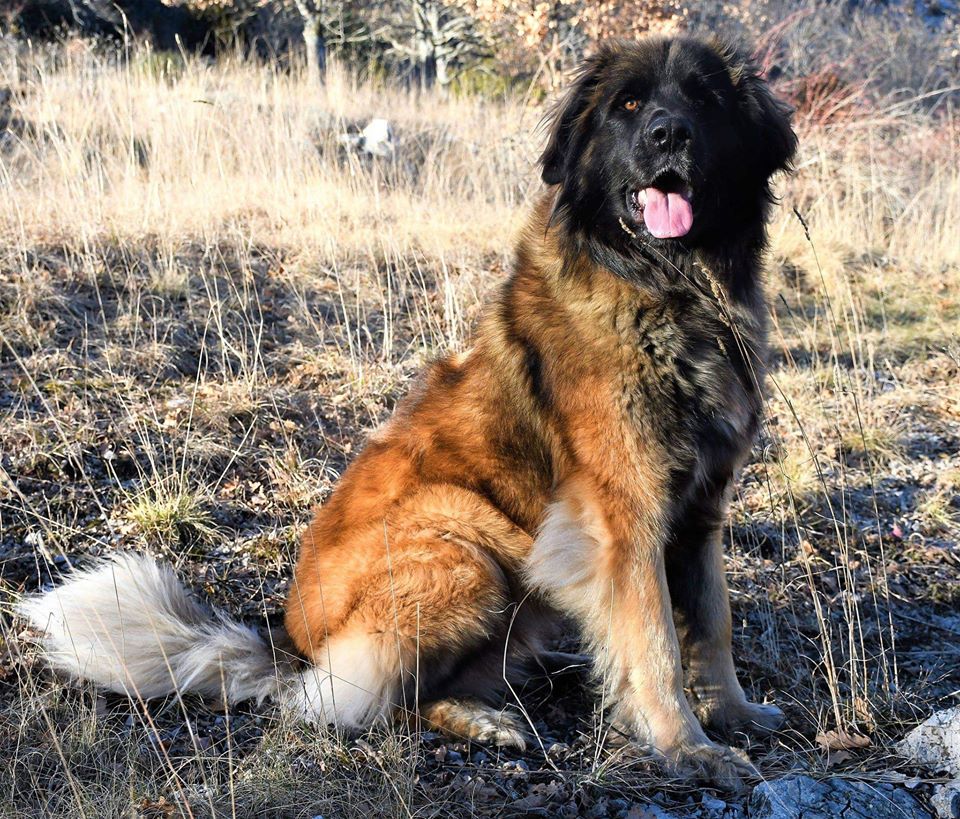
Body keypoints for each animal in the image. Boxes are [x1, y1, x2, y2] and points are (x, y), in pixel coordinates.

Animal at [21, 35, 797, 787]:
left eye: (703, 99)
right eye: (628, 105)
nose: (670, 134)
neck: (671, 288)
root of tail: (292, 646)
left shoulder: (700, 509)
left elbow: (713, 623)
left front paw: (734, 715)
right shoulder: (623, 518)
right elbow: (657, 640)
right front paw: (686, 748)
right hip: (465, 548)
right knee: (367, 699)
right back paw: (481, 718)